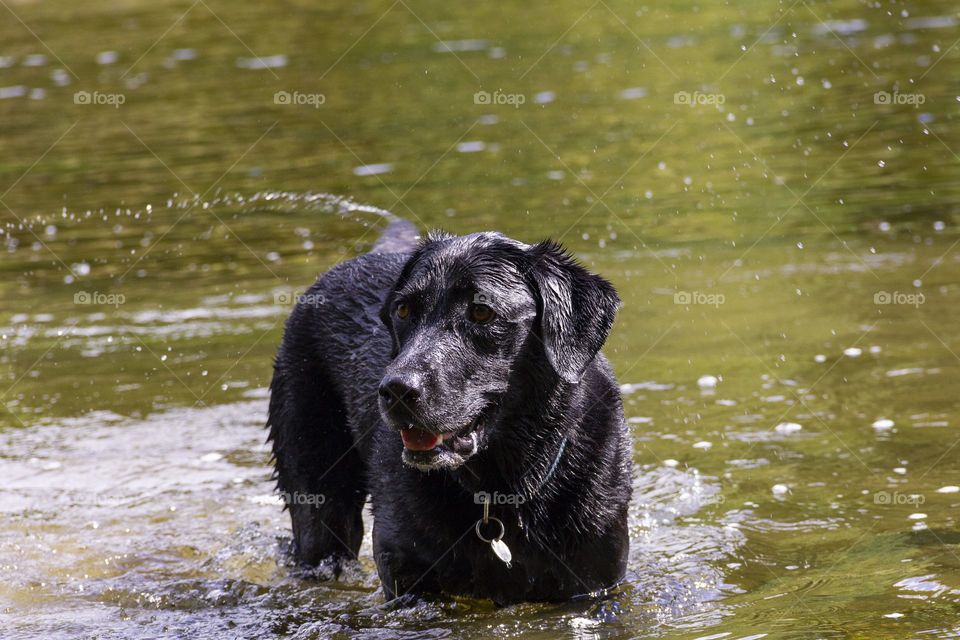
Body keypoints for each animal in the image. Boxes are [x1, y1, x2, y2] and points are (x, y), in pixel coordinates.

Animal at [266, 218, 632, 604]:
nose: (396, 389)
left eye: (482, 312)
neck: (502, 489)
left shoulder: (596, 581)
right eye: (403, 310)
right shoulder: (405, 579)